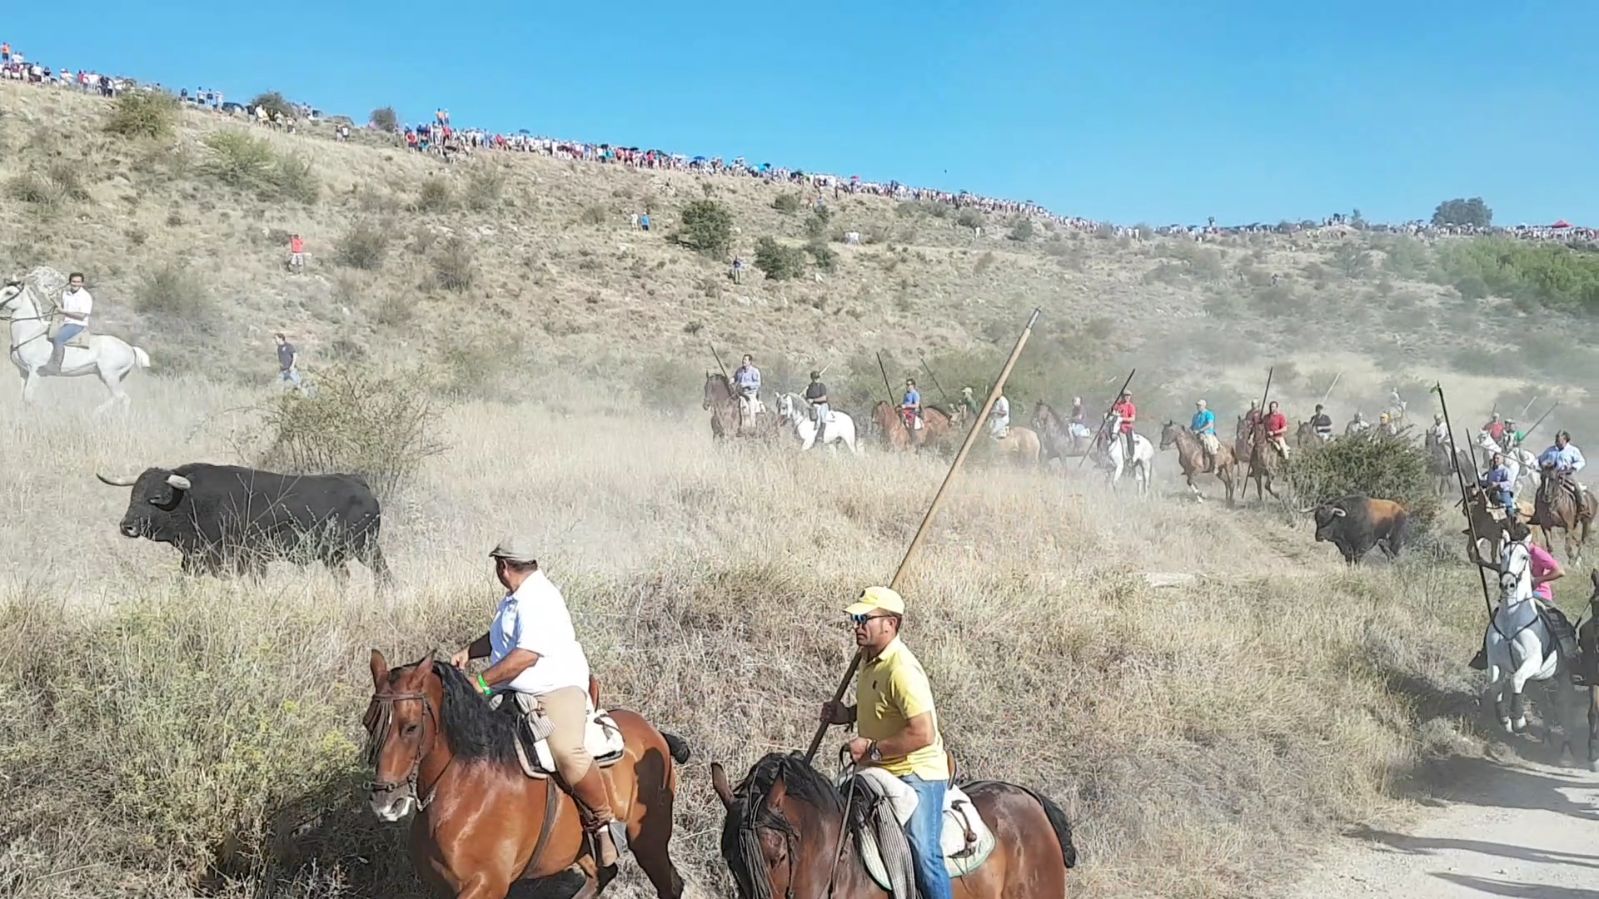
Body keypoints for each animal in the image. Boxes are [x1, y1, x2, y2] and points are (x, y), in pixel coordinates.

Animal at [0, 278, 151, 412]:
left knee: (121, 397)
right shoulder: (23, 371)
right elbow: (23, 397)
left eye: (9, 292)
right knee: (120, 398)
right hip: (109, 377)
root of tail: (131, 348)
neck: (29, 333)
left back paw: (97, 414)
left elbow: (28, 398)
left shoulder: (34, 371)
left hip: (110, 376)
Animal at [95, 460, 390, 582]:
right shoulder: (194, 559)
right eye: (133, 494)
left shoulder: (250, 560)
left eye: (155, 497)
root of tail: (358, 483)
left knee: (383, 576)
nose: (126, 526)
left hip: (367, 550)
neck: (194, 501)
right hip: (334, 558)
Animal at [366, 649, 690, 895]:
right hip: (581, 847)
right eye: (368, 723)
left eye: (410, 727)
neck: (465, 787)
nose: (385, 804)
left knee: (669, 885)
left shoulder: (485, 886)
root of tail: (654, 734)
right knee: (602, 874)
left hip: (649, 838)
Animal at [1477, 537, 1592, 761]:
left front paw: (1519, 721)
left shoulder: (1531, 662)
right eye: (1502, 554)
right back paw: (1546, 739)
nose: (1507, 585)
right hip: (1539, 680)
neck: (1512, 619)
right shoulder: (1495, 662)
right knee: (1545, 705)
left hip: (1562, 678)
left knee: (1564, 707)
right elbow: (1495, 686)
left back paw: (1566, 749)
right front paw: (1505, 720)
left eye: (1524, 557)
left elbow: (1514, 680)